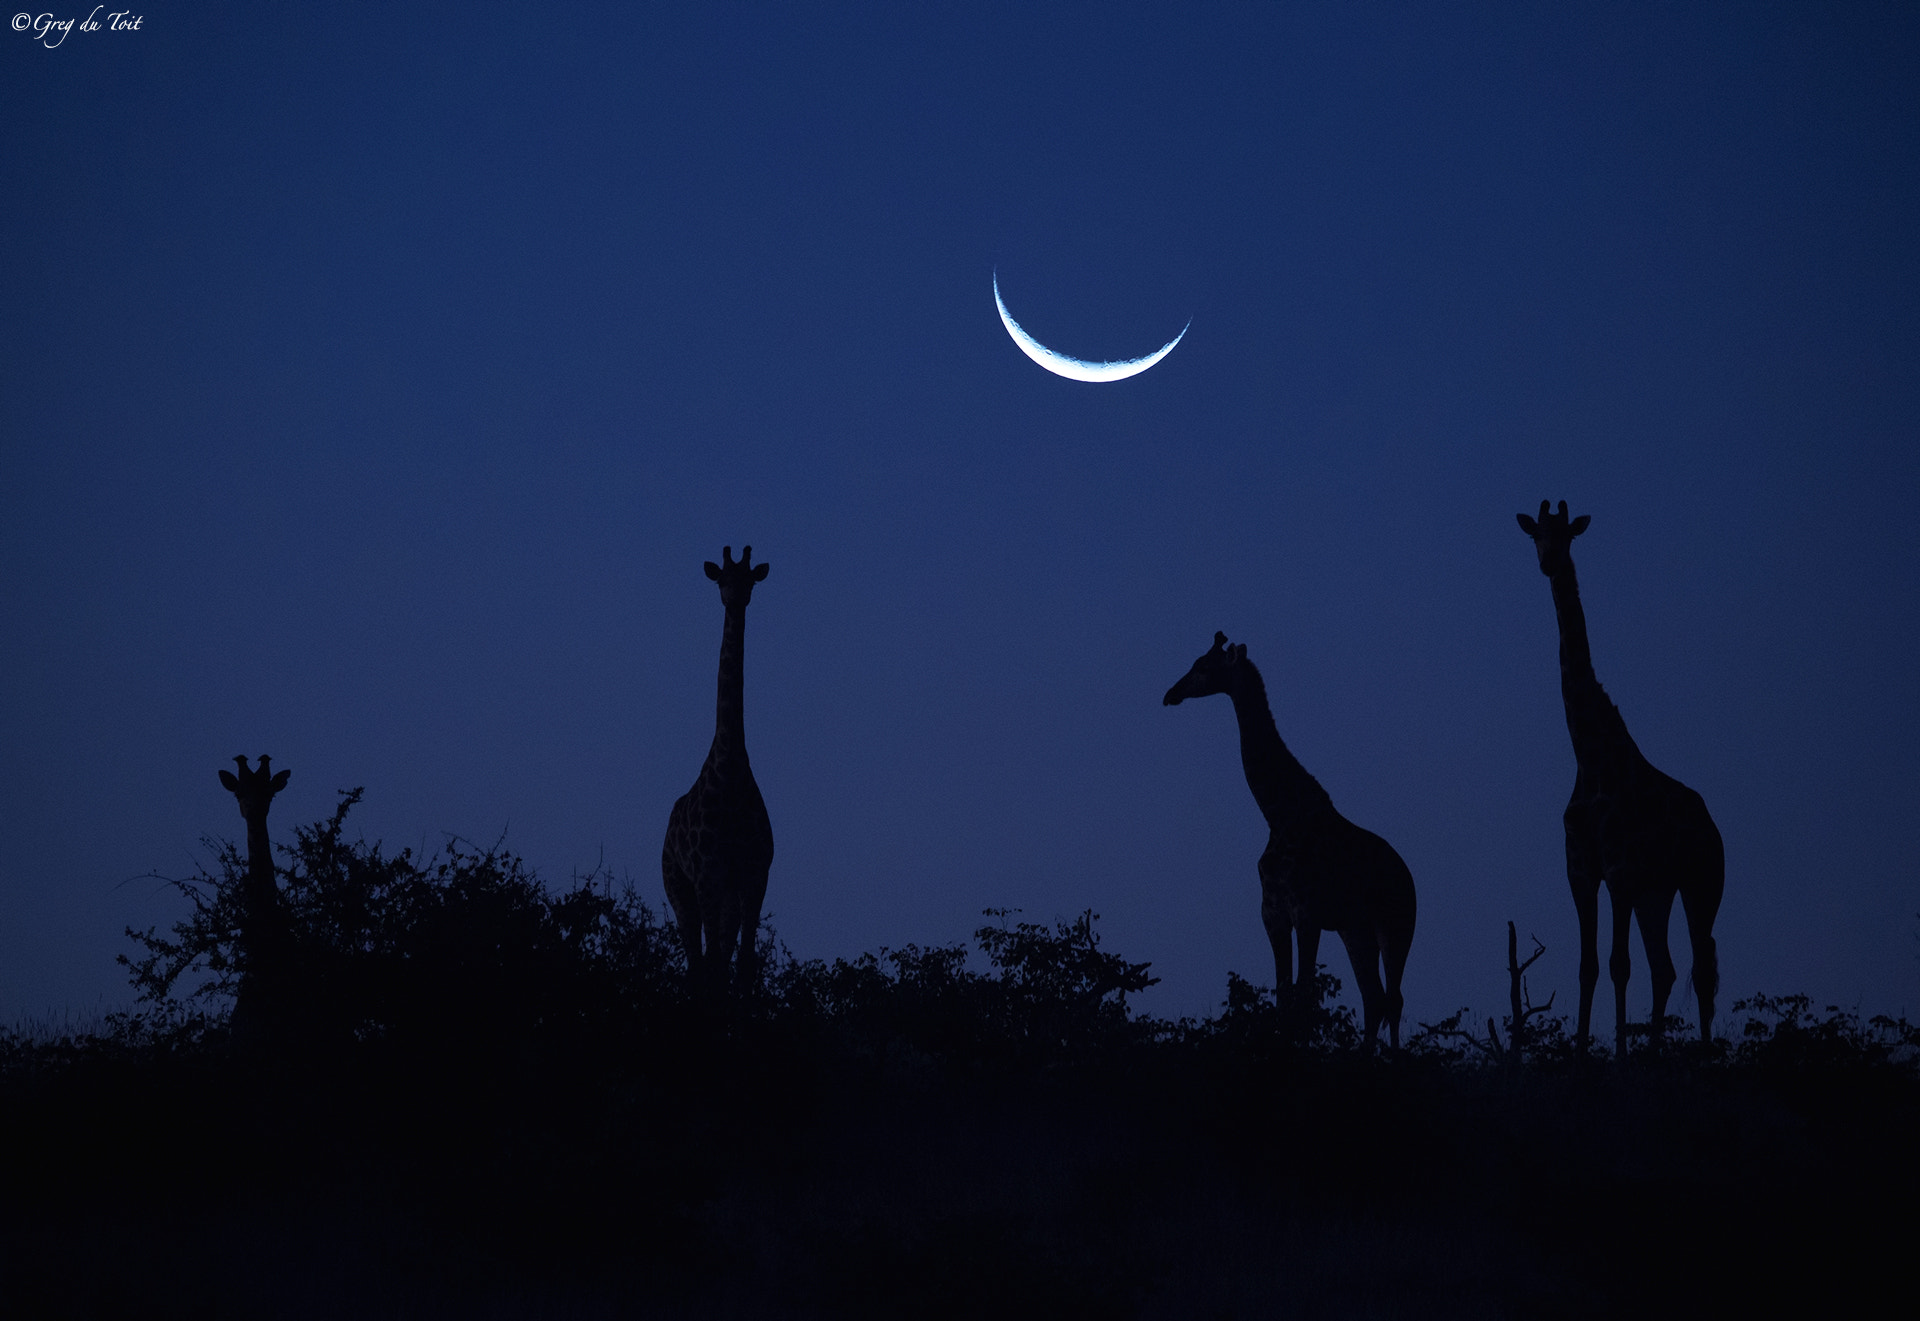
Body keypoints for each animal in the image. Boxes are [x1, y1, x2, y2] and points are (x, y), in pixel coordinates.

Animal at [662, 544, 775, 995]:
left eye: (749, 581)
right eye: (721, 579)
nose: (735, 597)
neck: (730, 772)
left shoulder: (753, 877)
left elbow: (742, 965)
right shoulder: (706, 876)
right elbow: (712, 966)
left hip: (726, 897)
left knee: (718, 958)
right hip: (677, 886)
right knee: (697, 961)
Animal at [1165, 633, 1417, 1049]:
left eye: (1203, 666)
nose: (1170, 694)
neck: (1278, 815)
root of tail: (1410, 878)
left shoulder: (1307, 913)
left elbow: (1303, 994)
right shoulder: (1273, 914)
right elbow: (1284, 995)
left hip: (1396, 924)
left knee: (1394, 999)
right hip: (1355, 930)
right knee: (1374, 998)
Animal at [1516, 501, 1724, 1056]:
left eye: (1567, 536)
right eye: (1536, 536)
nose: (1549, 564)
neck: (1590, 759)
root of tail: (1715, 828)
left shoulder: (1621, 871)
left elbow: (1617, 965)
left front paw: (1617, 1053)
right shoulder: (1582, 873)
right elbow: (1589, 966)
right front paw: (1583, 1051)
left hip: (1702, 883)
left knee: (1702, 969)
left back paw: (1698, 1054)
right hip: (1659, 893)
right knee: (1667, 968)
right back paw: (1653, 1052)